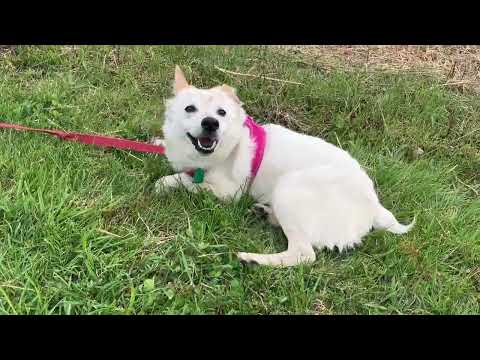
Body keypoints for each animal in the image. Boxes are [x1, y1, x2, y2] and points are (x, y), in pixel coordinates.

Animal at [153, 65, 412, 268]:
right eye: (190, 109)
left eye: (222, 113)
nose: (211, 123)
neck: (226, 146)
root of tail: (374, 208)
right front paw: (158, 144)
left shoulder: (228, 193)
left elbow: (184, 179)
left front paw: (164, 183)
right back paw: (266, 213)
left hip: (289, 187)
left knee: (303, 254)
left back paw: (254, 259)